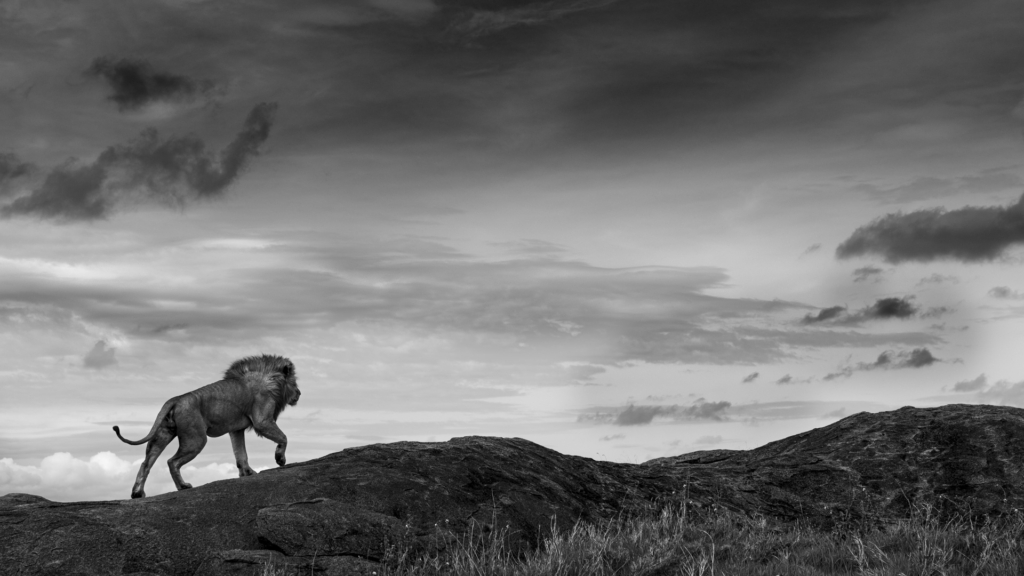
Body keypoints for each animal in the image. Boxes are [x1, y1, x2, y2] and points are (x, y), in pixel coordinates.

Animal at [115, 352, 301, 496]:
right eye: (295, 383)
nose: (299, 393)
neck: (271, 381)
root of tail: (176, 399)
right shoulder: (262, 420)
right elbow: (283, 438)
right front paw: (280, 459)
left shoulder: (236, 429)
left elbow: (240, 453)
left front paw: (247, 473)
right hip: (196, 439)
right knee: (172, 462)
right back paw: (183, 486)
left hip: (162, 434)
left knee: (146, 463)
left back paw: (137, 493)